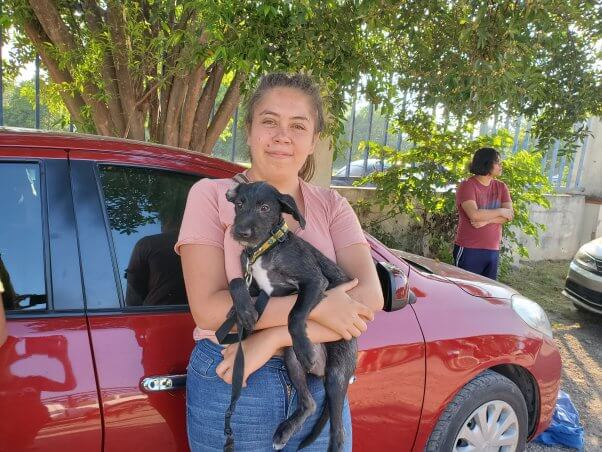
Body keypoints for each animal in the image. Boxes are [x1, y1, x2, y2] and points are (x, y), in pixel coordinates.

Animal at [225, 181, 356, 452]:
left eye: (265, 208)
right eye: (240, 204)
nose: (241, 232)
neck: (264, 249)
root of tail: (321, 371)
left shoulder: (314, 281)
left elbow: (294, 315)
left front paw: (304, 347)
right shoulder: (259, 287)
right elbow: (235, 282)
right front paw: (242, 312)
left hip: (337, 373)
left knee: (338, 431)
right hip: (290, 359)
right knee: (310, 403)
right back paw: (284, 431)